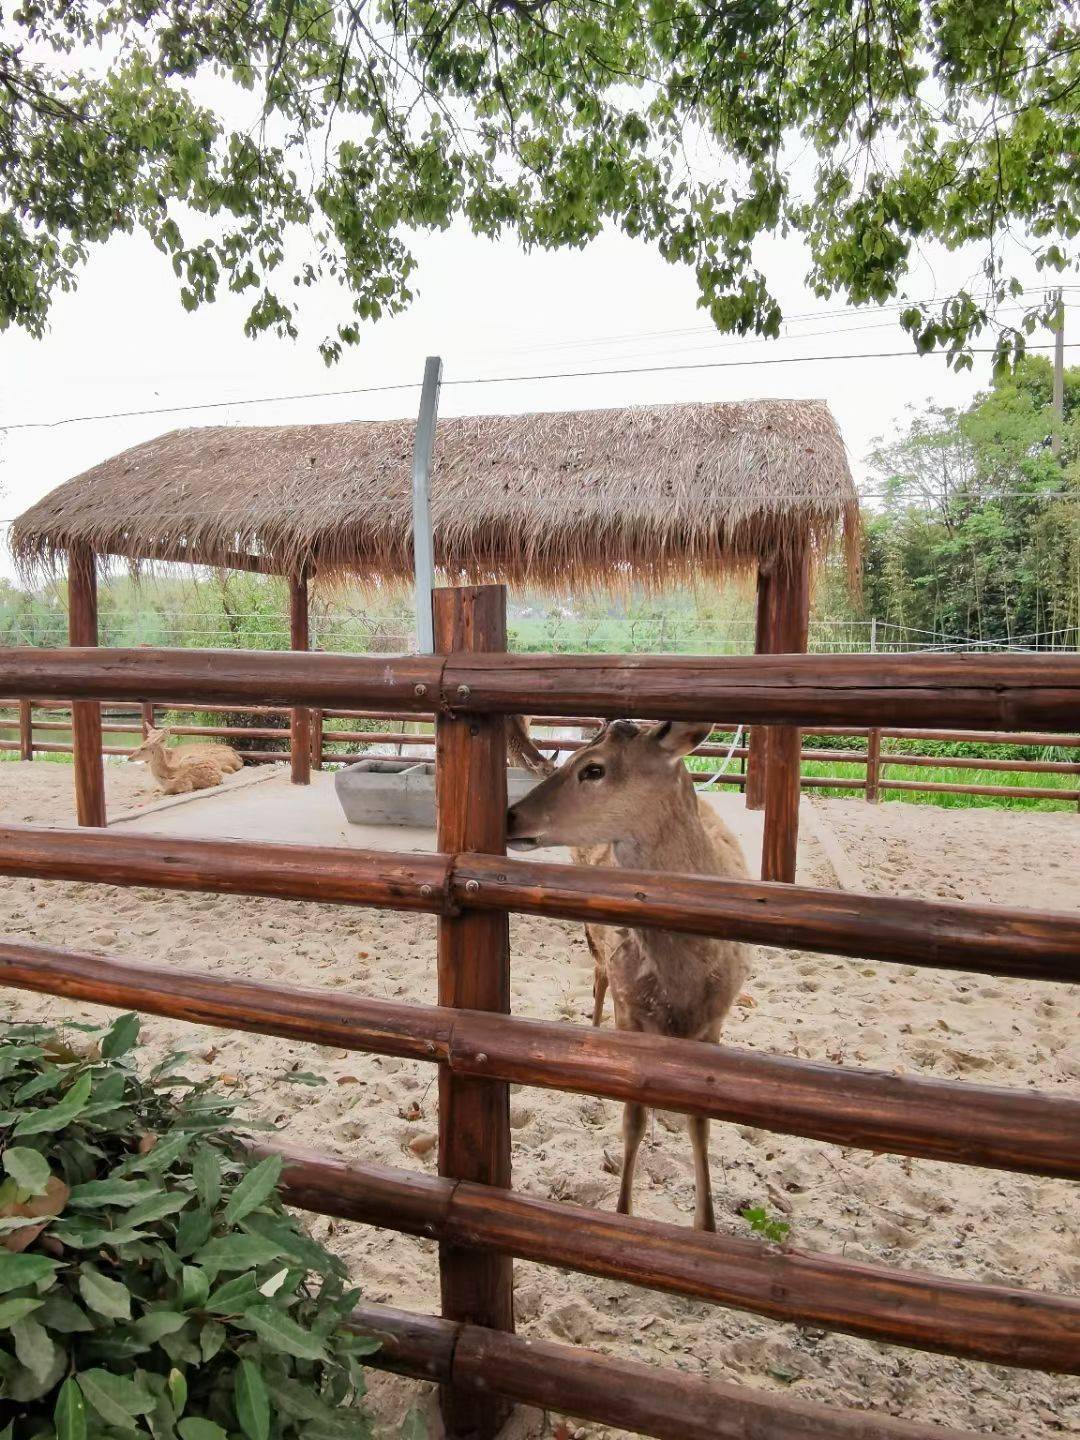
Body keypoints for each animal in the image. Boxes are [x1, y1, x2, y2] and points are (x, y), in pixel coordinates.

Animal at [506, 720, 754, 1238]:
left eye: (593, 769)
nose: (511, 816)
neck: (684, 978)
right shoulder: (631, 1009)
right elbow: (633, 1118)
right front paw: (622, 1213)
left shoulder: (715, 1019)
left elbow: (701, 1121)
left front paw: (706, 1225)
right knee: (597, 976)